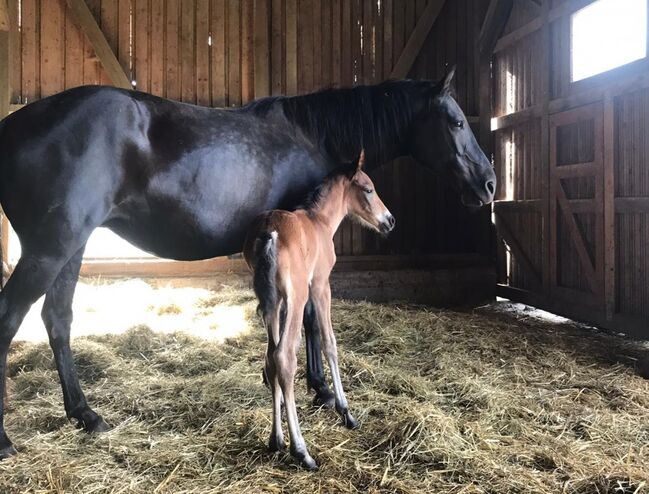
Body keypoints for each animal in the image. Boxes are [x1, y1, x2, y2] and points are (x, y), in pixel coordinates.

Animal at [244, 151, 392, 470]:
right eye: (369, 189)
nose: (390, 220)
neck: (320, 221)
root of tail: (269, 233)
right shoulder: (321, 285)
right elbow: (329, 342)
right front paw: (345, 411)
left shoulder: (286, 298)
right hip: (297, 296)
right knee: (285, 357)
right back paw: (302, 450)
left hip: (272, 301)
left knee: (271, 358)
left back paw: (277, 440)